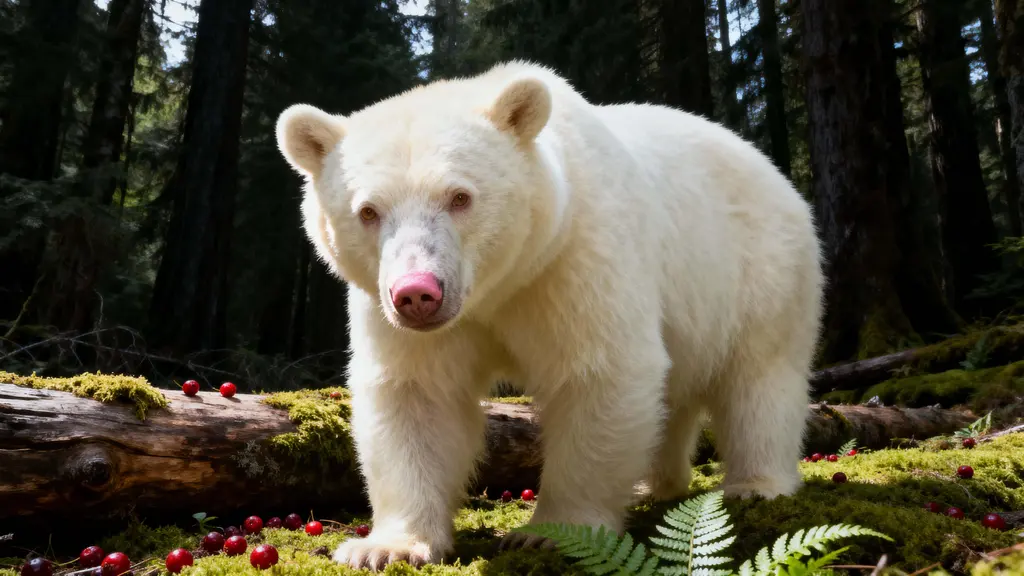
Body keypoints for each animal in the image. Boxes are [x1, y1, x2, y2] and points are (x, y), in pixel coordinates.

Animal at [274, 60, 824, 571]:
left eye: (459, 196)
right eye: (368, 211)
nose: (417, 293)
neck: (496, 289)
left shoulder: (574, 258)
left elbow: (598, 373)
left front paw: (549, 533)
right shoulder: (395, 312)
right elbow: (417, 395)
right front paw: (387, 547)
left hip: (761, 268)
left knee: (760, 378)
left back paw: (755, 483)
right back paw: (655, 483)